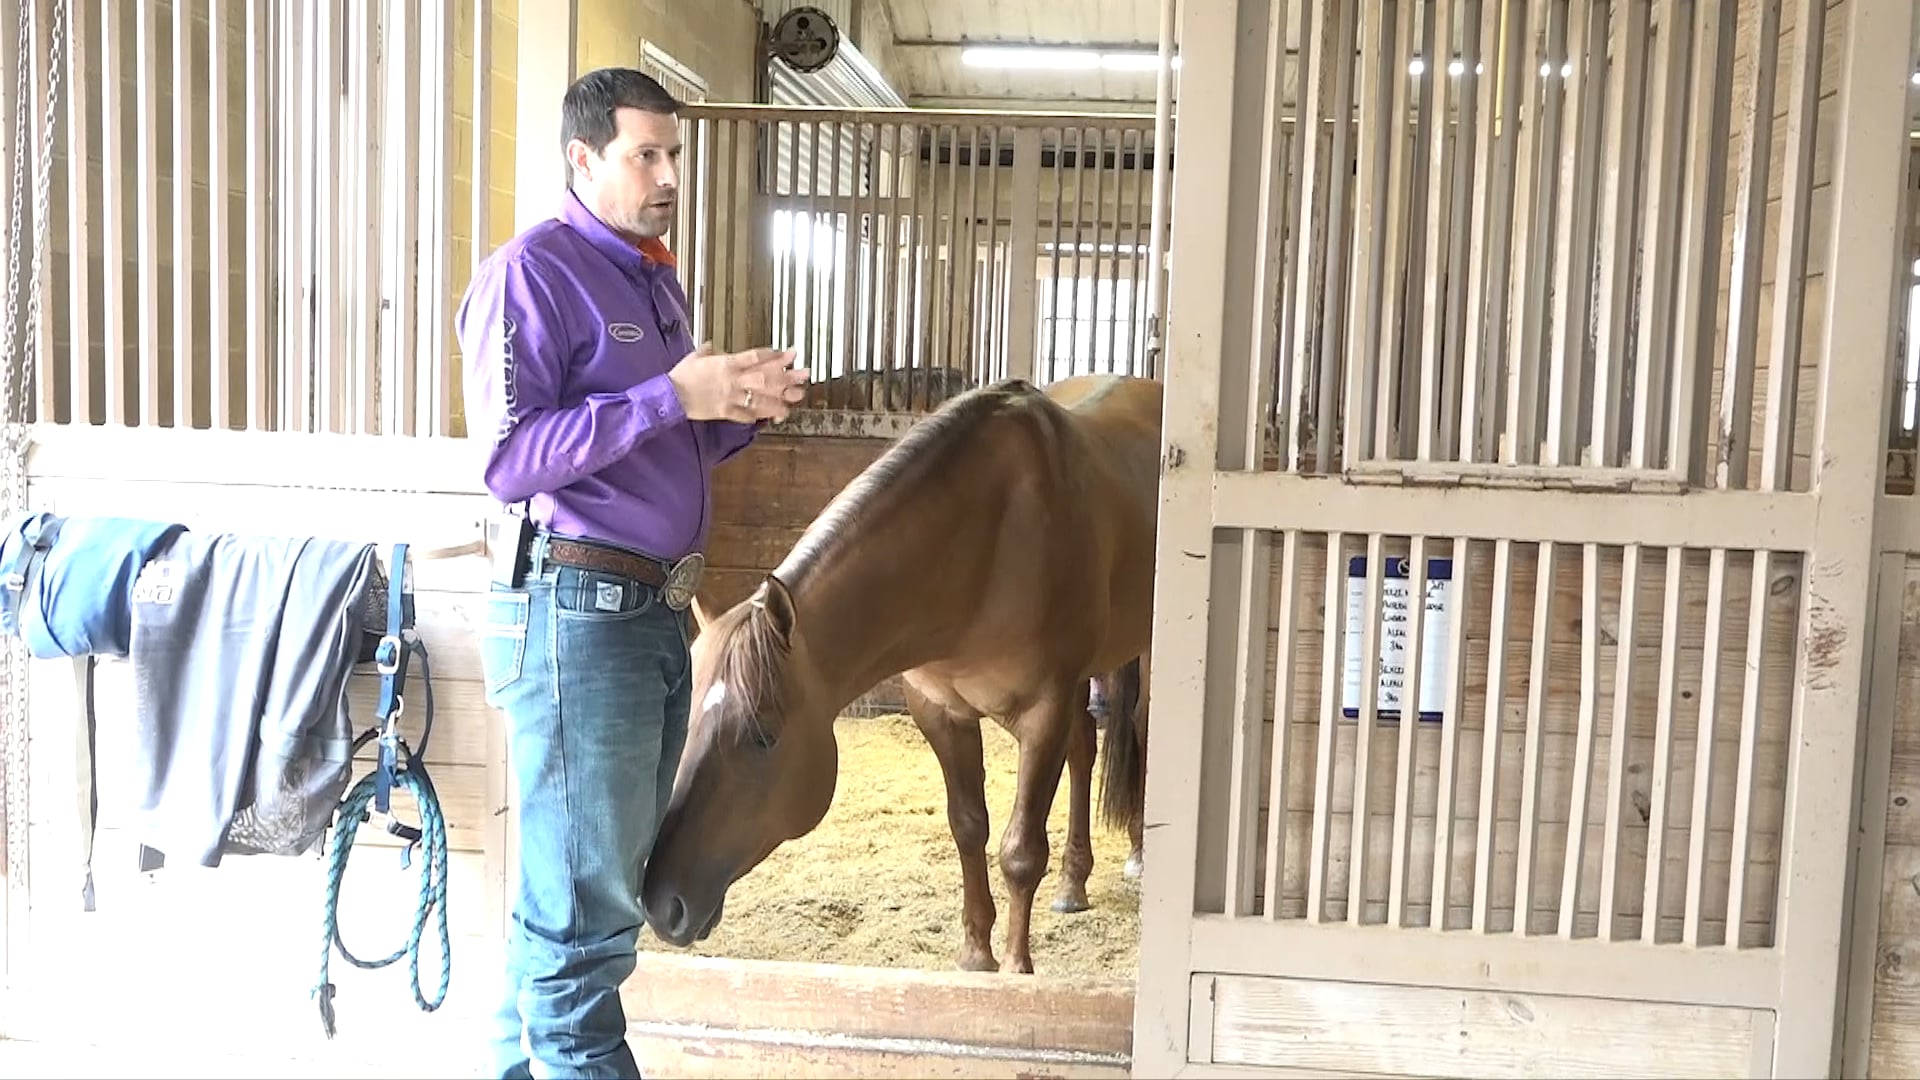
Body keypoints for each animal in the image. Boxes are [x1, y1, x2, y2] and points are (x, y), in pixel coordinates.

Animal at [640, 373, 1162, 975]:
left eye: (763, 737)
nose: (662, 901)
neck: (985, 543)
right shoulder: (941, 711)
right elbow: (968, 827)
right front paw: (975, 956)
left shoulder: (1041, 711)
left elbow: (1020, 852)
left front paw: (1015, 970)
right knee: (1082, 749)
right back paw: (1074, 884)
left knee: (1141, 729)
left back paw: (1140, 855)